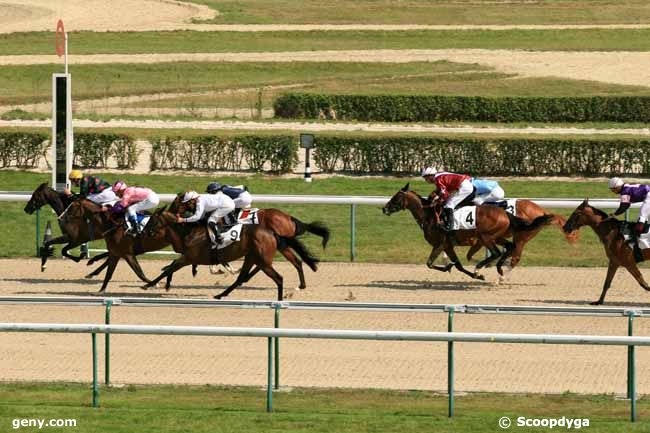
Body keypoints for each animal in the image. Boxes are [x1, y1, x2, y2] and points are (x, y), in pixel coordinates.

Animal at [140, 210, 318, 300]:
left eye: (152, 220)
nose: (142, 232)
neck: (189, 232)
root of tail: (272, 232)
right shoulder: (188, 258)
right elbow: (170, 267)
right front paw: (165, 285)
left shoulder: (189, 257)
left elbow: (170, 268)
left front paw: (149, 284)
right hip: (252, 257)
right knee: (241, 277)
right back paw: (221, 294)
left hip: (262, 260)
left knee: (279, 277)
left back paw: (280, 299)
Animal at [172, 193, 330, 290]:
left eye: (177, 202)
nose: (172, 211)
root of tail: (288, 217)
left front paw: (218, 269)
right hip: (279, 244)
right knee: (295, 261)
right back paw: (301, 285)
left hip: (275, 244)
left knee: (269, 263)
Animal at [382, 181, 548, 276]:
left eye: (396, 197)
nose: (384, 208)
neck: (429, 215)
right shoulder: (447, 245)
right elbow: (456, 265)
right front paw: (452, 267)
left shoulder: (441, 243)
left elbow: (432, 263)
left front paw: (469, 271)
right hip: (497, 236)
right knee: (509, 248)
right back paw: (498, 269)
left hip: (488, 237)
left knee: (500, 253)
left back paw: (484, 268)